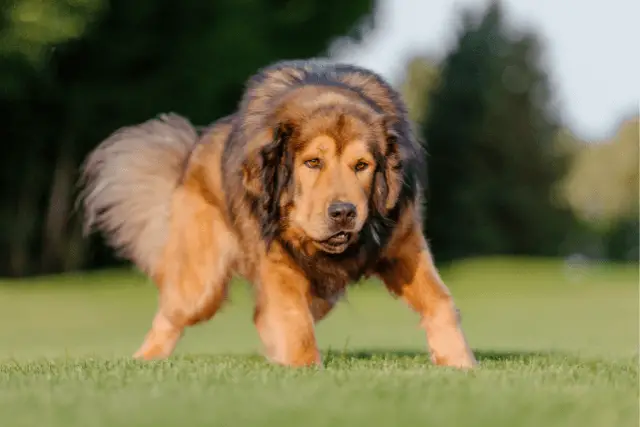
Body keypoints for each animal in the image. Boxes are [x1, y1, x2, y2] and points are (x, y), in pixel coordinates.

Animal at [77, 58, 478, 370]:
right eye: (313, 163)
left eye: (362, 166)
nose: (343, 212)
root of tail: (194, 147)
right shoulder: (277, 260)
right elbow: (294, 320)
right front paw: (302, 368)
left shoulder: (404, 245)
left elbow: (441, 302)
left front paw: (461, 365)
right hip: (200, 284)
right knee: (172, 314)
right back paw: (143, 359)